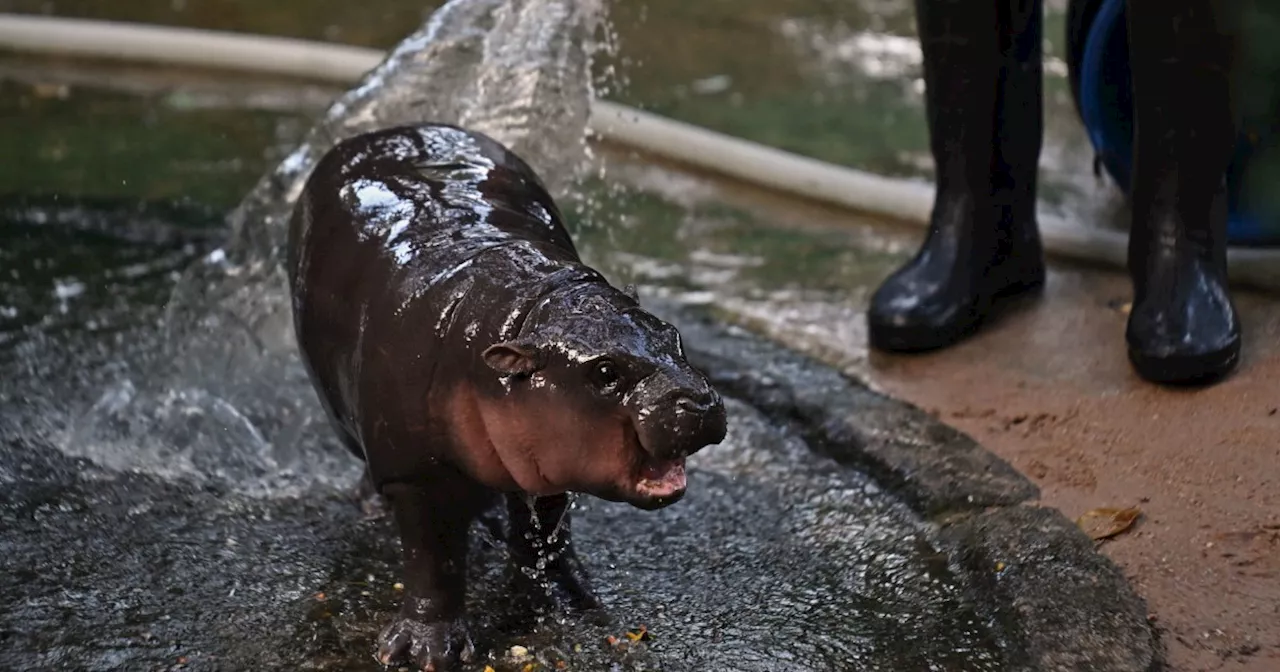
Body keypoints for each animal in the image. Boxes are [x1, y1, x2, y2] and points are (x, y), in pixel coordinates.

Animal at [291, 124, 732, 665]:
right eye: (605, 371)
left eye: (673, 335)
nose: (700, 402)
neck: (522, 311)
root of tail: (388, 131)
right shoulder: (414, 473)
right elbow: (433, 559)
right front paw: (425, 653)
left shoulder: (547, 457)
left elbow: (546, 534)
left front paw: (568, 603)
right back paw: (374, 507)